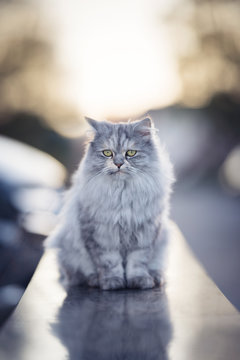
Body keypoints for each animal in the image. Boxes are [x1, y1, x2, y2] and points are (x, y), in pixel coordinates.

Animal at [45, 116, 173, 292]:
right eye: (107, 153)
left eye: (131, 153)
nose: (118, 164)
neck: (122, 194)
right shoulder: (101, 234)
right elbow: (109, 263)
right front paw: (112, 282)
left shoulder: (144, 235)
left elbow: (137, 262)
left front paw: (139, 281)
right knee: (78, 275)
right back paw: (94, 280)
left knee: (156, 268)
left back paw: (156, 278)